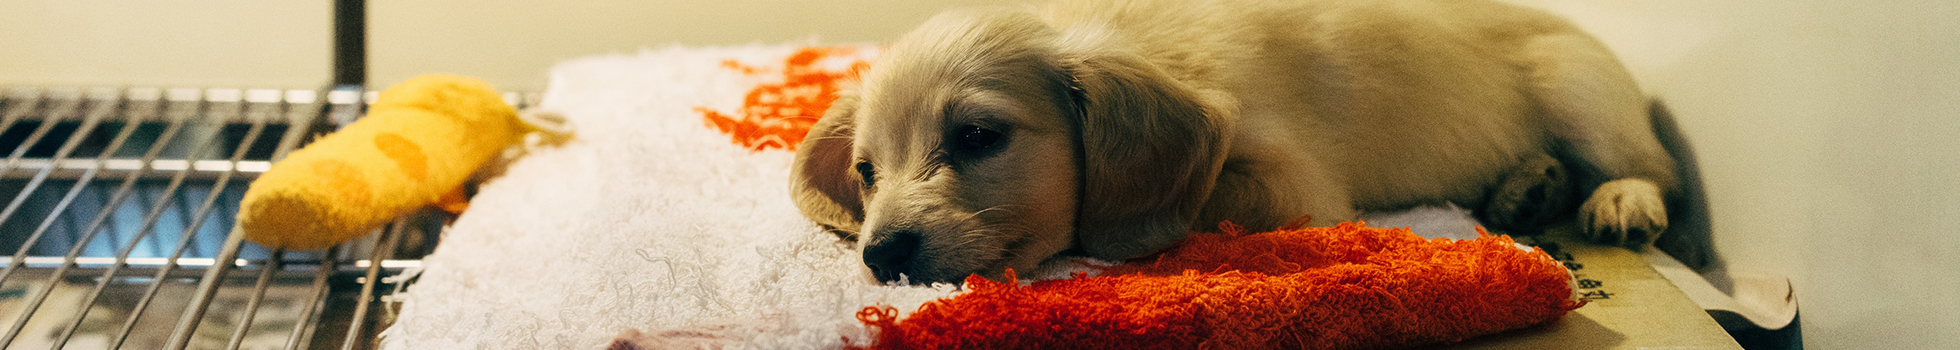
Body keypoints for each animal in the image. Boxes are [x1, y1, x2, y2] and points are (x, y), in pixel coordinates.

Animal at [787, 0, 1677, 283]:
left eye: (978, 136)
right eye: (866, 171)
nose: (880, 256)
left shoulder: (1296, 185)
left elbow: (1191, 198)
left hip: (1582, 93)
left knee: (1651, 166)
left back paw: (1618, 199)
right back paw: (1528, 186)